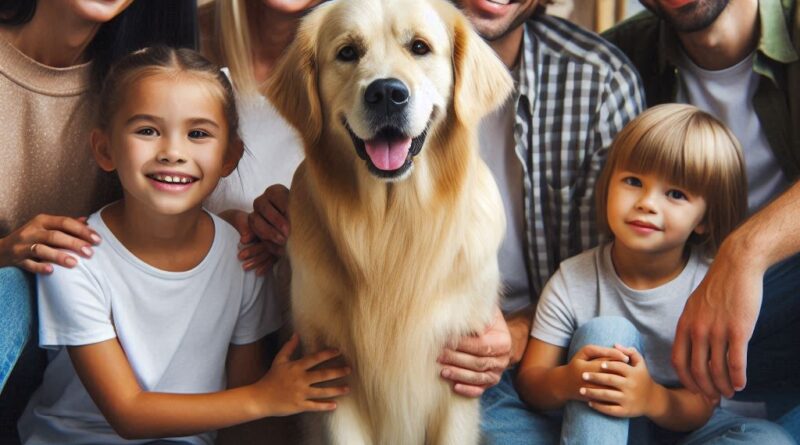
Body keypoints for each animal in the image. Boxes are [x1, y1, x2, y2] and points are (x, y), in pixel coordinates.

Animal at [268, 0, 512, 442]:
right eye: (348, 52)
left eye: (419, 47)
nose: (386, 93)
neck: (394, 223)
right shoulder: (334, 374)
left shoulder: (458, 374)